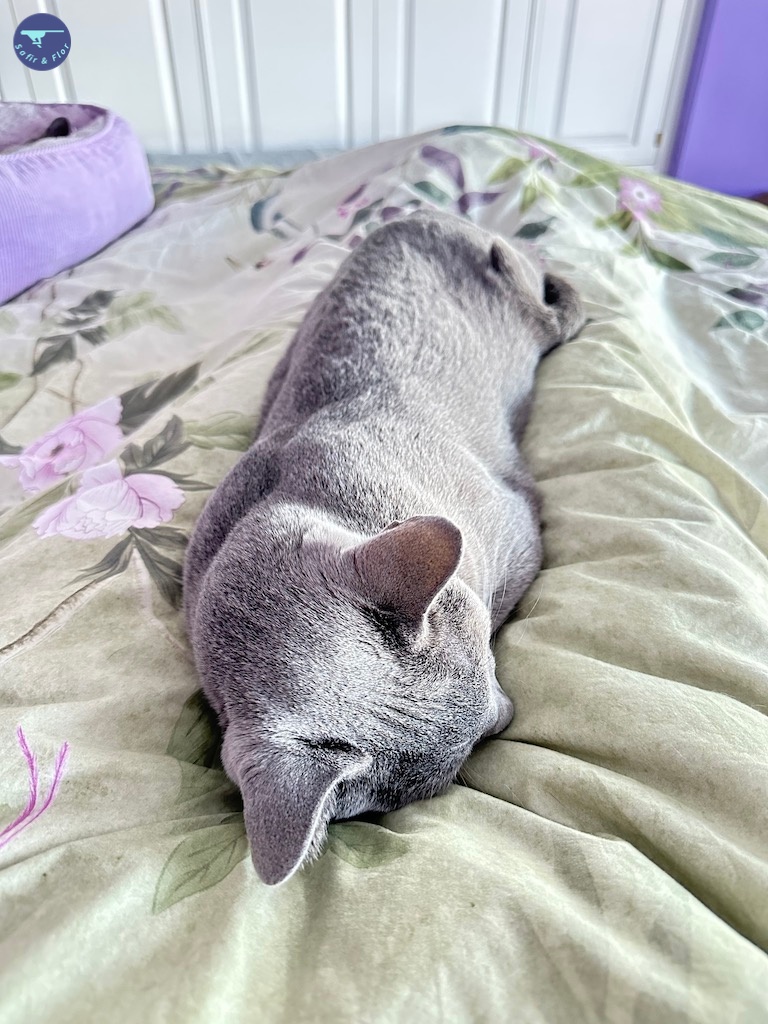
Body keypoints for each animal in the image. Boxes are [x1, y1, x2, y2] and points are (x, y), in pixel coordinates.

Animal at [183, 209, 583, 885]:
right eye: (470, 748)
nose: (508, 715)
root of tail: (416, 214)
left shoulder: (521, 535)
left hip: (526, 307)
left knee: (558, 301)